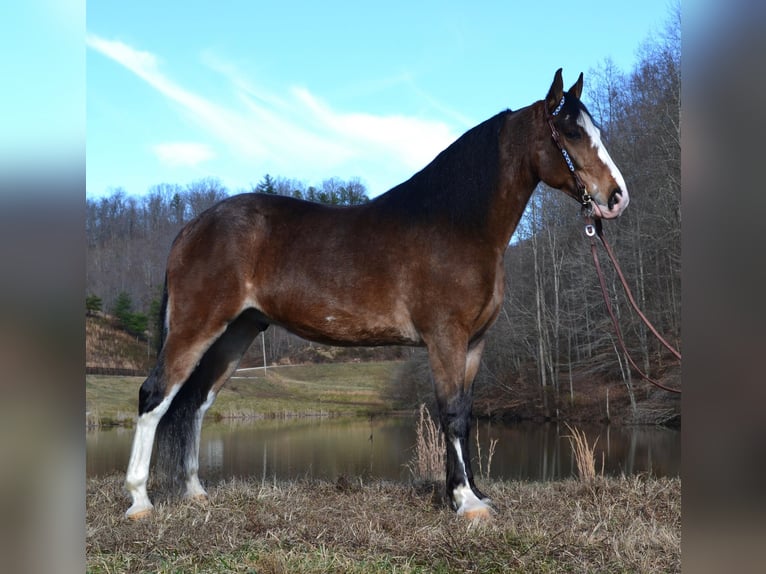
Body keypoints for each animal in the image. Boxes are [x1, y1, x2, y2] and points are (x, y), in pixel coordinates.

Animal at [124, 68, 632, 520]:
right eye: (571, 132)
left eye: (597, 130)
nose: (616, 198)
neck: (457, 225)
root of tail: (192, 227)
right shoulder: (445, 338)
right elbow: (452, 413)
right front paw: (465, 503)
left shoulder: (474, 343)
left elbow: (466, 415)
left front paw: (473, 493)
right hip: (197, 326)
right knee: (155, 395)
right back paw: (139, 501)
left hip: (236, 333)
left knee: (195, 404)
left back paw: (195, 493)